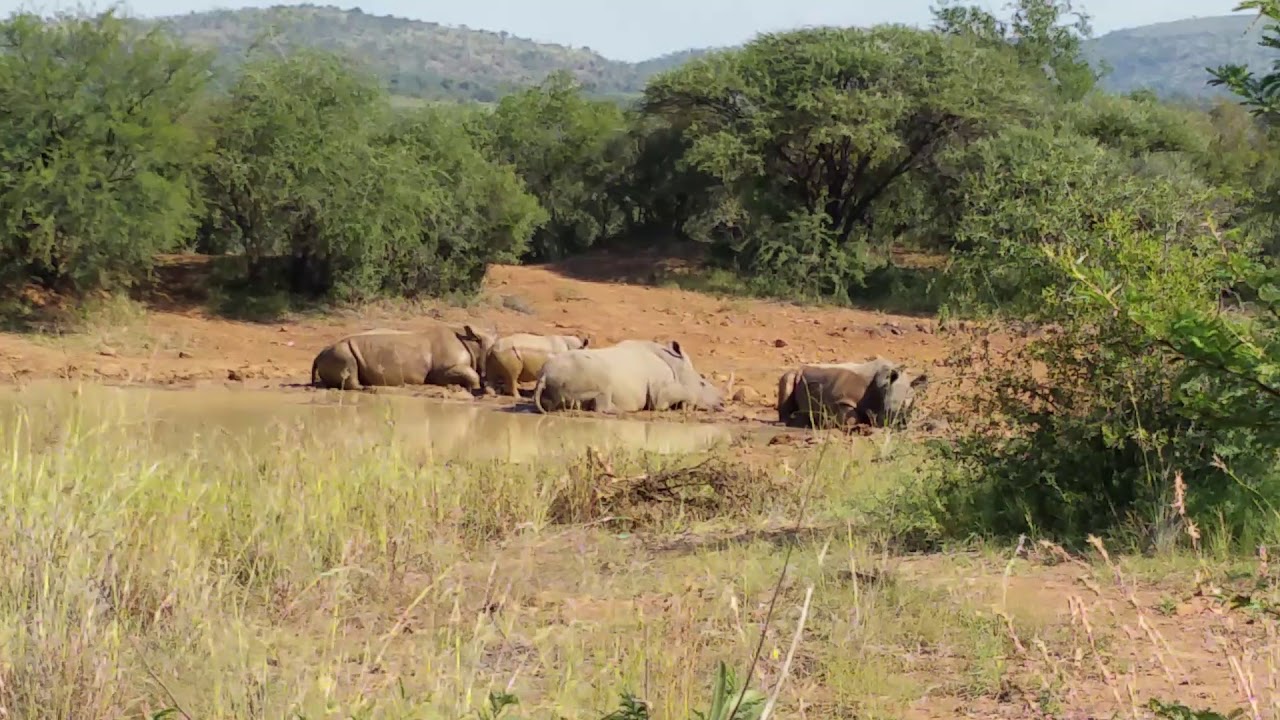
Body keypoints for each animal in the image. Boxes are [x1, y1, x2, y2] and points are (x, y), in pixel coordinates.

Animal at [310, 324, 497, 392]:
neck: (474, 345)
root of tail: (318, 355)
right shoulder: (441, 371)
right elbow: (471, 374)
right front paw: (474, 388)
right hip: (340, 351)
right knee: (349, 362)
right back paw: (369, 388)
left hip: (334, 352)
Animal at [532, 339, 725, 414]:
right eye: (702, 383)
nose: (723, 403)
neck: (676, 365)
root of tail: (545, 375)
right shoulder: (660, 392)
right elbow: (669, 398)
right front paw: (687, 405)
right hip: (581, 369)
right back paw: (620, 411)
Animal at [775, 357, 928, 430]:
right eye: (892, 409)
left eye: (913, 407)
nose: (901, 424)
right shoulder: (842, 399)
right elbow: (851, 418)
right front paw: (827, 423)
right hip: (795, 373)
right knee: (787, 378)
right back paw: (788, 422)